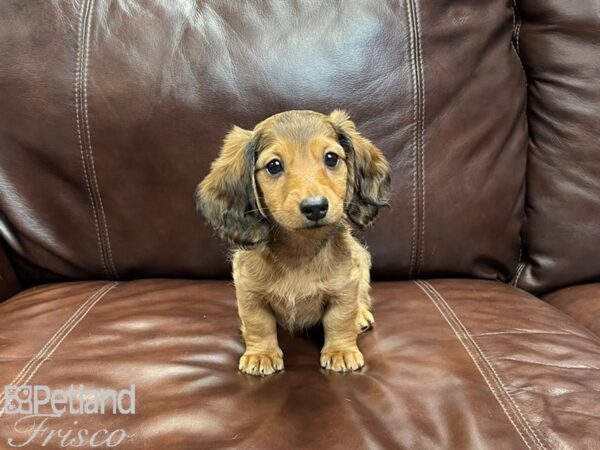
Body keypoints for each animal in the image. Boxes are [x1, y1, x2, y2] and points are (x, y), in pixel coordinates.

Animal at [197, 110, 392, 376]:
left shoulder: (345, 286)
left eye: (331, 158)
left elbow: (339, 320)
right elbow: (259, 324)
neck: (300, 250)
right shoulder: (249, 291)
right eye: (274, 165)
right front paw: (261, 354)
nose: (315, 207)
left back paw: (360, 315)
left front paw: (340, 351)